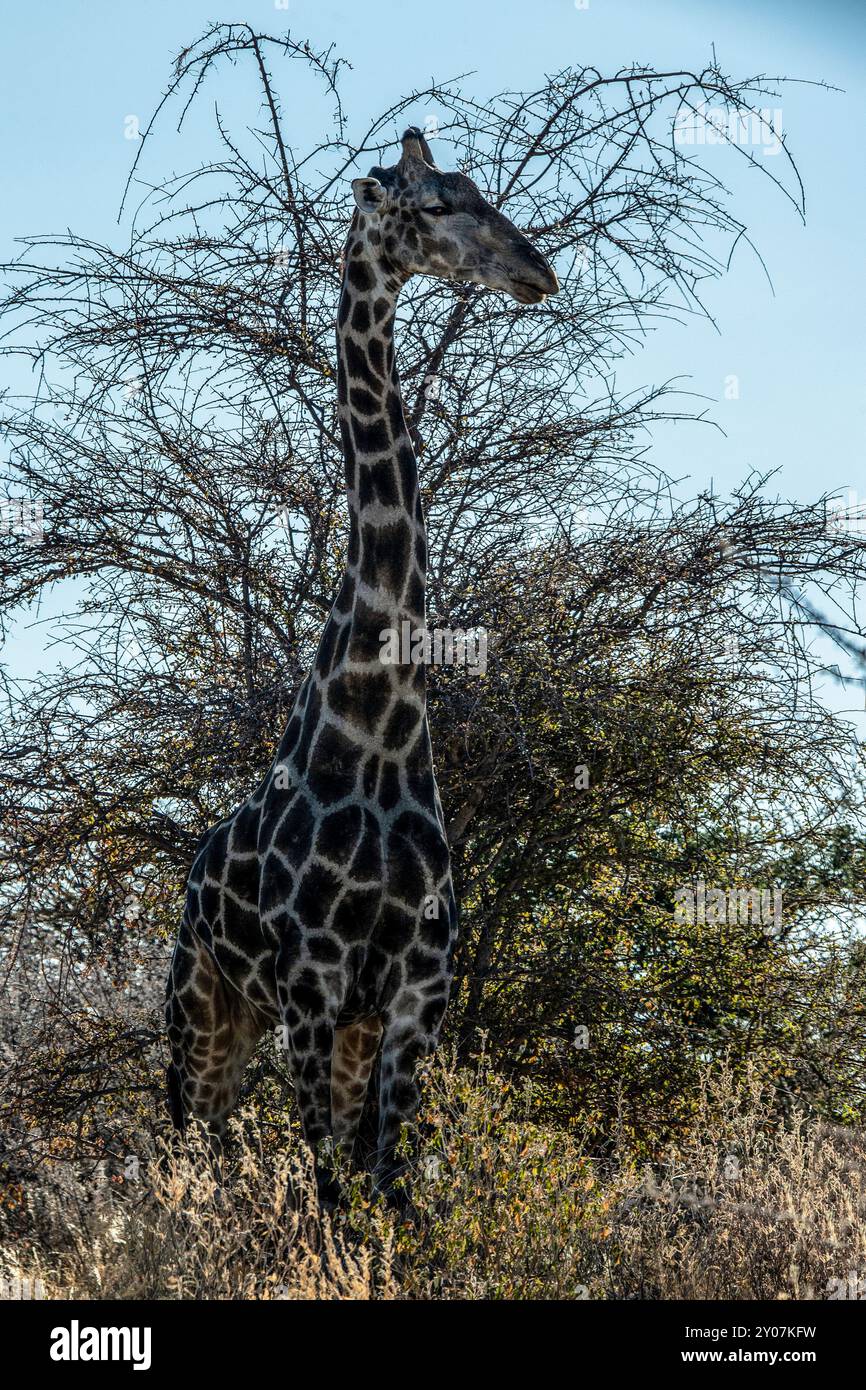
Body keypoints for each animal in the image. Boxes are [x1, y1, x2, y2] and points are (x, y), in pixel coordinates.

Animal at [165, 127, 559, 1205]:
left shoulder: (415, 987)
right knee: (185, 1162)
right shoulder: (313, 983)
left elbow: (383, 1185)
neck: (379, 725)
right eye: (431, 207)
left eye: (482, 190)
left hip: (314, 1031)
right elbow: (331, 1190)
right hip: (200, 1017)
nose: (536, 271)